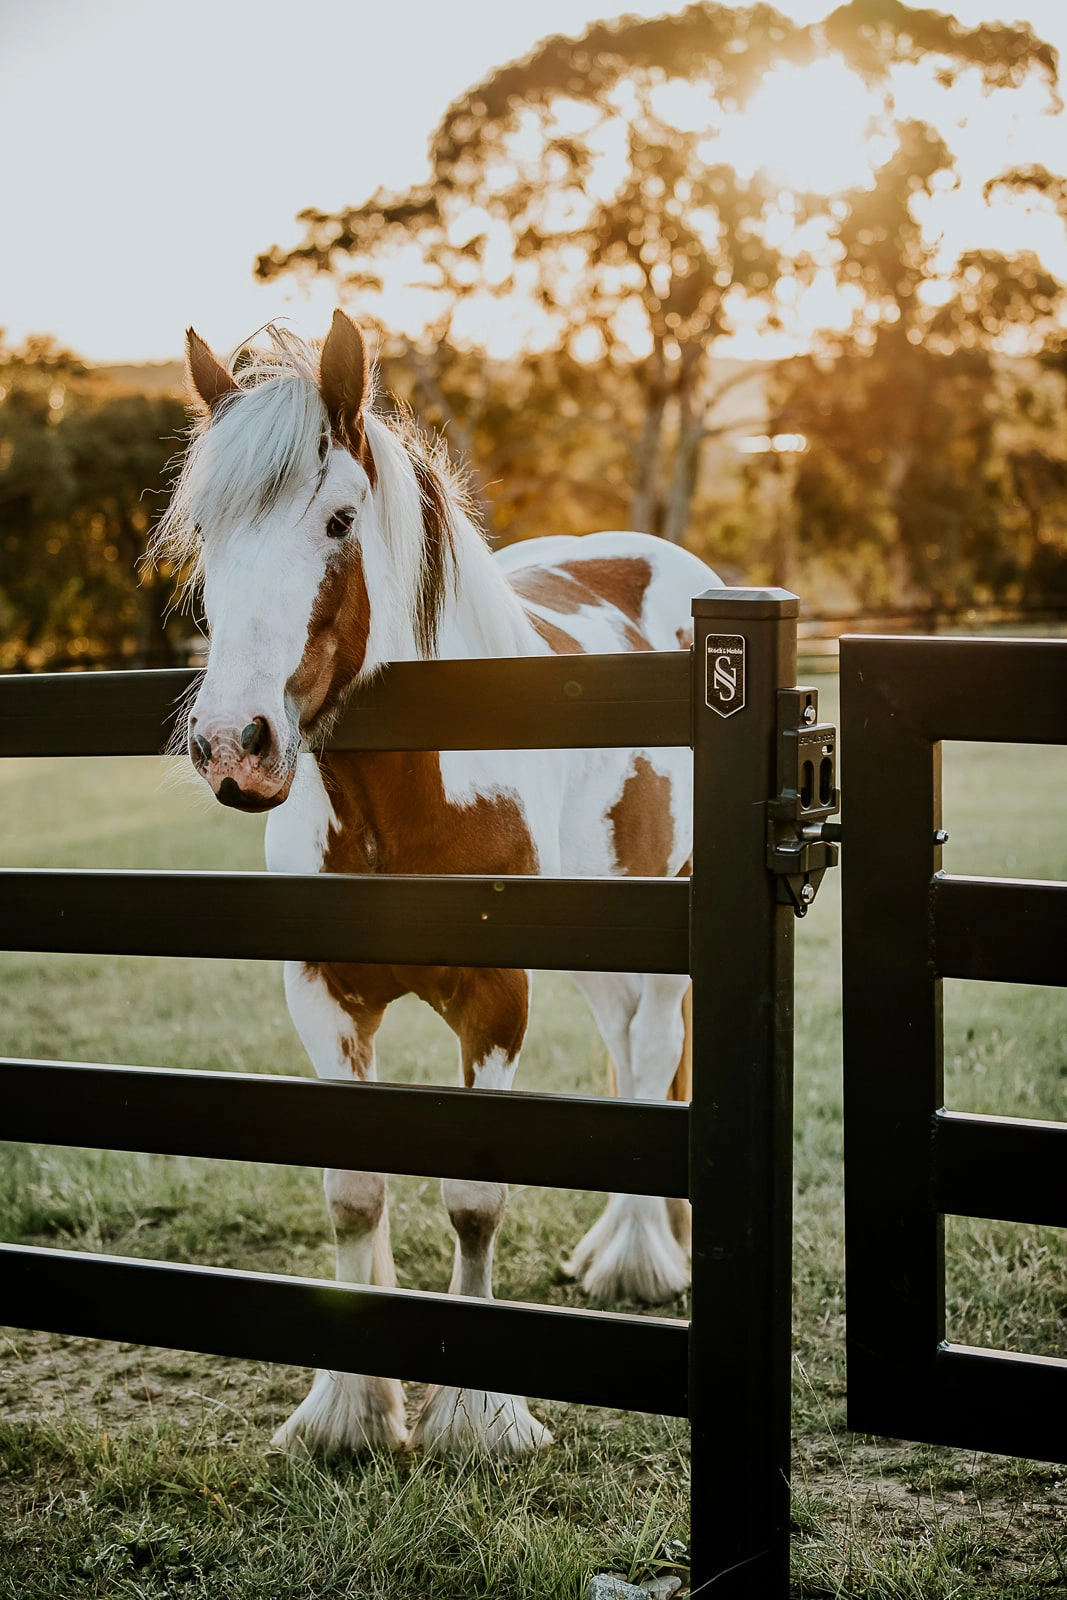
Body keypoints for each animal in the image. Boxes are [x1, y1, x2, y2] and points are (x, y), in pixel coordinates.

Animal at [156, 305, 726, 1459]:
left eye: (337, 522)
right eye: (209, 533)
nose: (234, 745)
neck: (404, 796)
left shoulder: (495, 998)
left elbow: (472, 1198)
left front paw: (479, 1414)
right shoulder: (324, 999)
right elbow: (354, 1196)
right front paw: (348, 1411)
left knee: (649, 1059)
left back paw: (638, 1260)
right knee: (625, 1057)